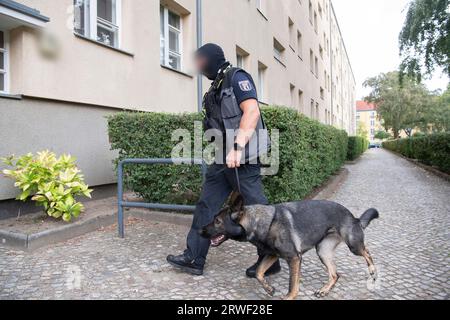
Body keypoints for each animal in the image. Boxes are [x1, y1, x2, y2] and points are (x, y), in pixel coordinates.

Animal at [200, 192, 380, 300]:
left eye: (217, 221)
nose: (200, 230)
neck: (262, 223)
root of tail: (353, 217)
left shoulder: (294, 258)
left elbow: (292, 283)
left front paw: (289, 296)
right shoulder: (272, 255)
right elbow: (259, 272)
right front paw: (269, 288)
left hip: (353, 245)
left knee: (367, 251)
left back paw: (372, 270)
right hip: (323, 251)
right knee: (335, 275)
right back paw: (324, 289)